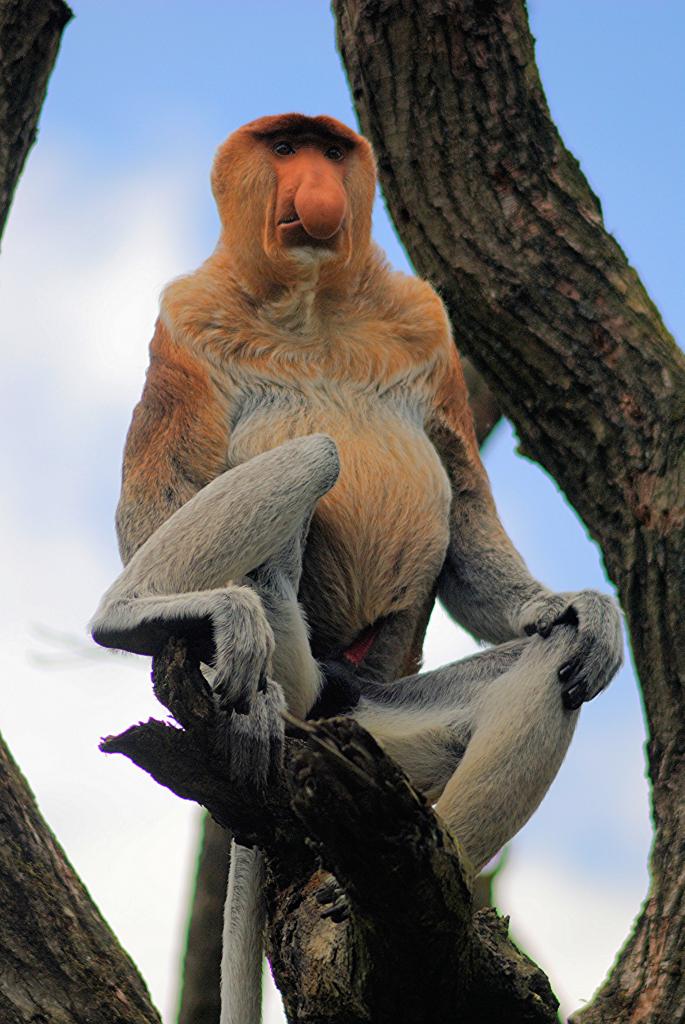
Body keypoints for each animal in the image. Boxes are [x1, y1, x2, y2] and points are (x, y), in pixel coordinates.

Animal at [90, 113, 623, 1024]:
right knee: (305, 451)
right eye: (283, 147)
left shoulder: (427, 321)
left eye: (330, 149)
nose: (316, 191)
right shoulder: (184, 324)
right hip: (292, 658)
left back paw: (427, 881)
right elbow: (154, 495)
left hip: (375, 726)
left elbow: (466, 511)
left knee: (552, 669)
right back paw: (136, 619)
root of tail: (322, 700)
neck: (312, 303)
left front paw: (581, 609)